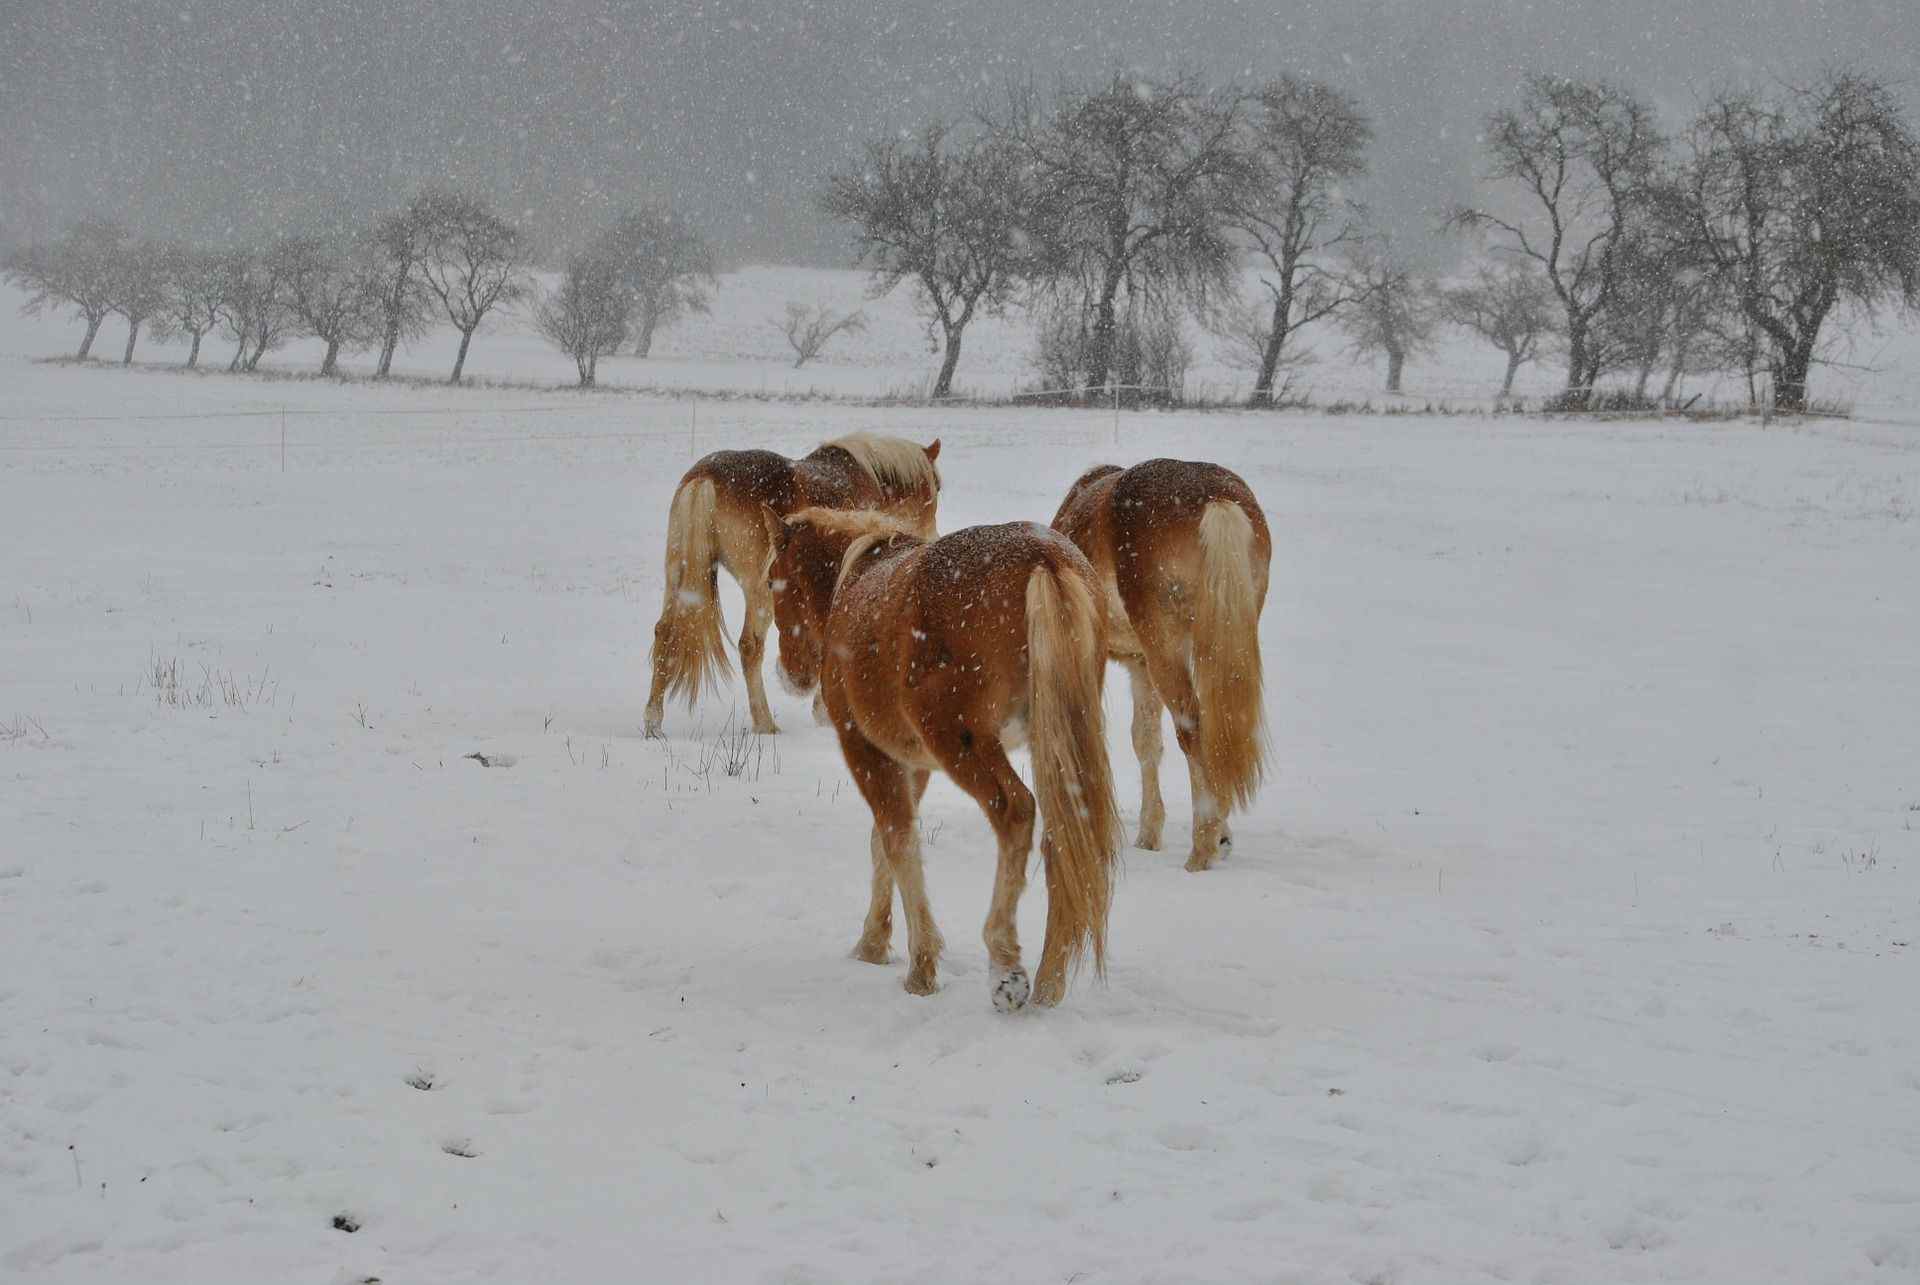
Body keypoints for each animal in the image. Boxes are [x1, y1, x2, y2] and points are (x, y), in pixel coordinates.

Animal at [645, 434, 944, 737]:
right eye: (937, 487)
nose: (933, 538)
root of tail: (704, 479)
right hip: (759, 591)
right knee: (750, 646)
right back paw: (765, 723)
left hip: (677, 576)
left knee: (664, 632)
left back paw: (653, 723)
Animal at [764, 507, 1121, 1006]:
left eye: (771, 582)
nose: (789, 674)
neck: (855, 579)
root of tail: (1044, 560)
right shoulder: (913, 764)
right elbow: (883, 842)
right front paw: (874, 943)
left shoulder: (866, 751)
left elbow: (898, 842)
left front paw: (921, 966)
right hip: (1054, 743)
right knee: (1065, 836)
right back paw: (1049, 982)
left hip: (964, 745)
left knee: (1015, 811)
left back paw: (1006, 965)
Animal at [1052, 455, 1274, 868]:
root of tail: (1216, 500)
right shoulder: (1140, 663)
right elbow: (1146, 740)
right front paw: (1149, 834)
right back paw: (1217, 835)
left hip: (1166, 648)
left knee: (1193, 730)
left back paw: (1202, 849)